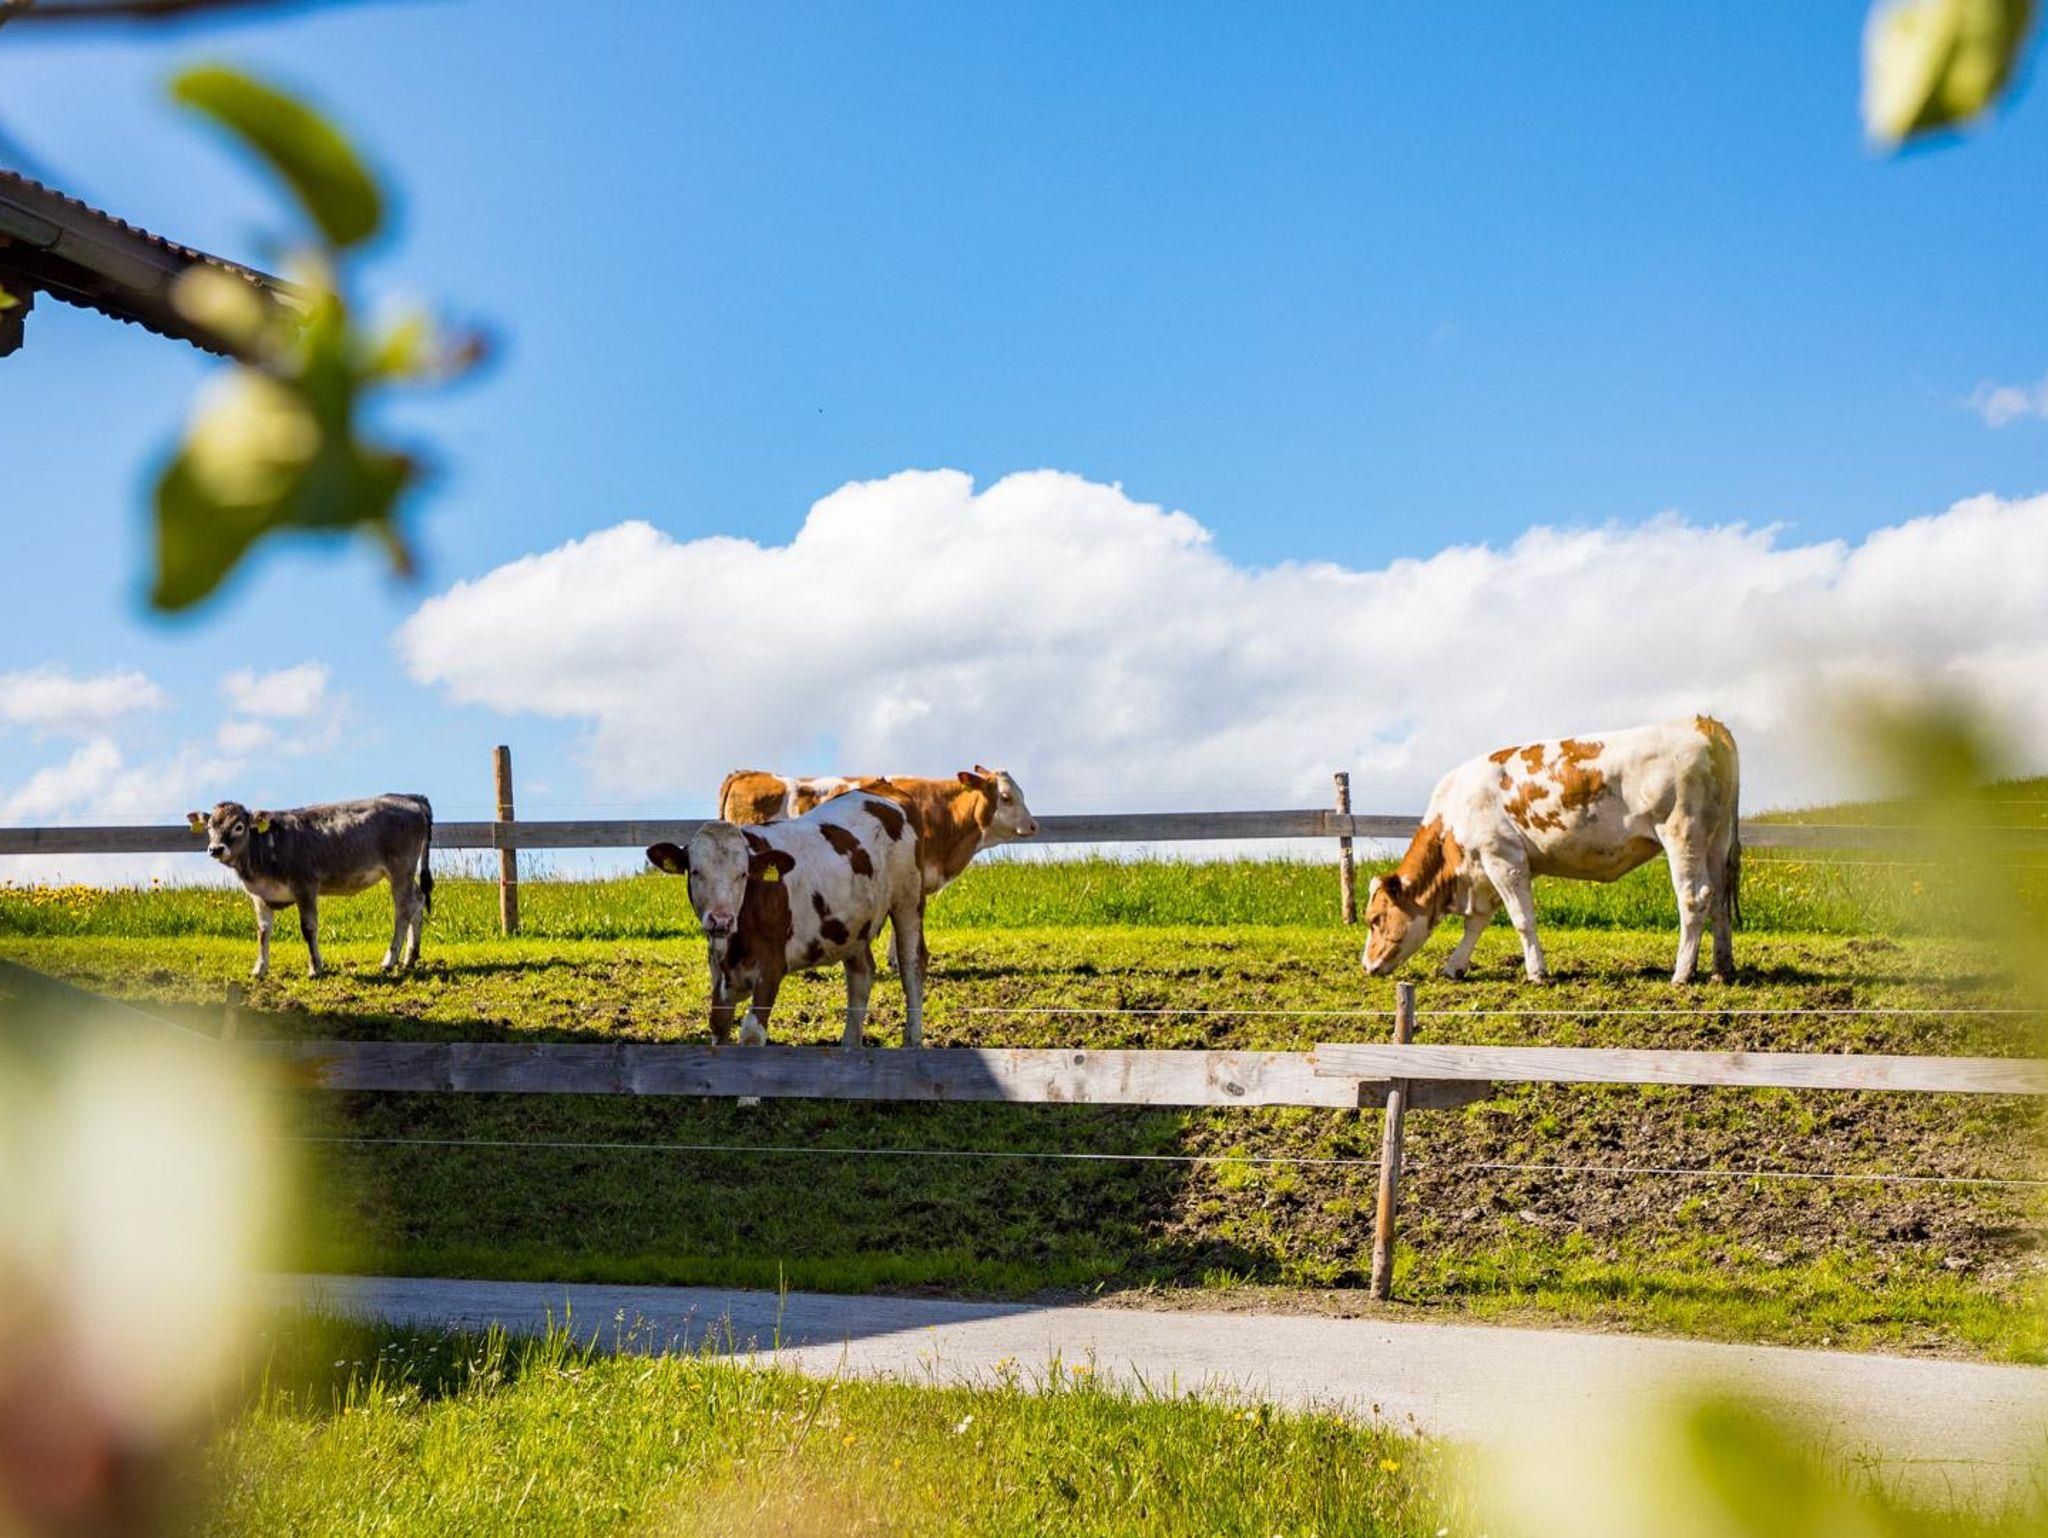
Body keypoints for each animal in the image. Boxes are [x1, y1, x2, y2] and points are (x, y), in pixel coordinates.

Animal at [187, 794, 434, 980]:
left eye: (239, 826)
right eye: (210, 826)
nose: (216, 849)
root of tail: (410, 798)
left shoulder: (305, 887)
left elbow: (308, 928)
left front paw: (315, 968)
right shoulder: (259, 896)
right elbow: (263, 932)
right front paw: (259, 969)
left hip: (400, 868)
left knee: (403, 909)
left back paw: (389, 960)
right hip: (403, 873)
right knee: (418, 900)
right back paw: (410, 957)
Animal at [646, 792, 927, 1049]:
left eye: (743, 874)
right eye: (695, 872)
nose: (721, 920)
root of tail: (884, 799)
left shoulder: (772, 964)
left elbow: (751, 1032)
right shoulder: (718, 966)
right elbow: (719, 1023)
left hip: (908, 900)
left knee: (912, 964)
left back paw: (912, 1041)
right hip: (854, 928)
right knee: (862, 973)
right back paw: (850, 1046)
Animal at [1361, 717, 1741, 985]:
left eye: (1375, 919)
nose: (1366, 965)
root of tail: (1702, 722)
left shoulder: (1504, 859)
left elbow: (1522, 920)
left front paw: (1537, 973)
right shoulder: (1487, 871)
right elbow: (1476, 923)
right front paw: (1454, 966)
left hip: (1681, 833)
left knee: (1694, 897)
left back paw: (1682, 974)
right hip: (1716, 839)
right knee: (1719, 897)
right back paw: (1721, 969)